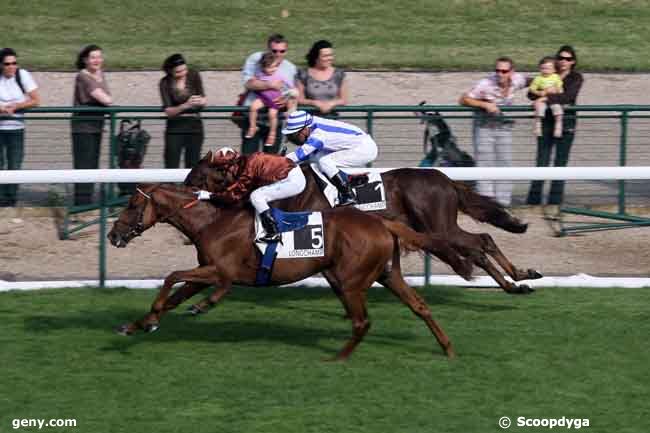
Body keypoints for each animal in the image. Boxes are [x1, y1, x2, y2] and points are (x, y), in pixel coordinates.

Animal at [109, 184, 468, 360]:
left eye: (131, 205)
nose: (113, 235)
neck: (212, 221)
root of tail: (382, 222)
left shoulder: (218, 269)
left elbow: (174, 277)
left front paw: (197, 307)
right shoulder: (204, 269)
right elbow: (173, 294)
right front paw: (138, 324)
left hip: (351, 282)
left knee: (362, 321)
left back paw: (337, 358)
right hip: (386, 274)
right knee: (419, 306)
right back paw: (448, 349)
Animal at [185, 152, 540, 294]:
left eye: (199, 174)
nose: (187, 188)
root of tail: (447, 181)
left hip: (438, 225)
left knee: (481, 241)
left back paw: (518, 277)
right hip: (437, 227)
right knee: (477, 246)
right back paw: (515, 281)